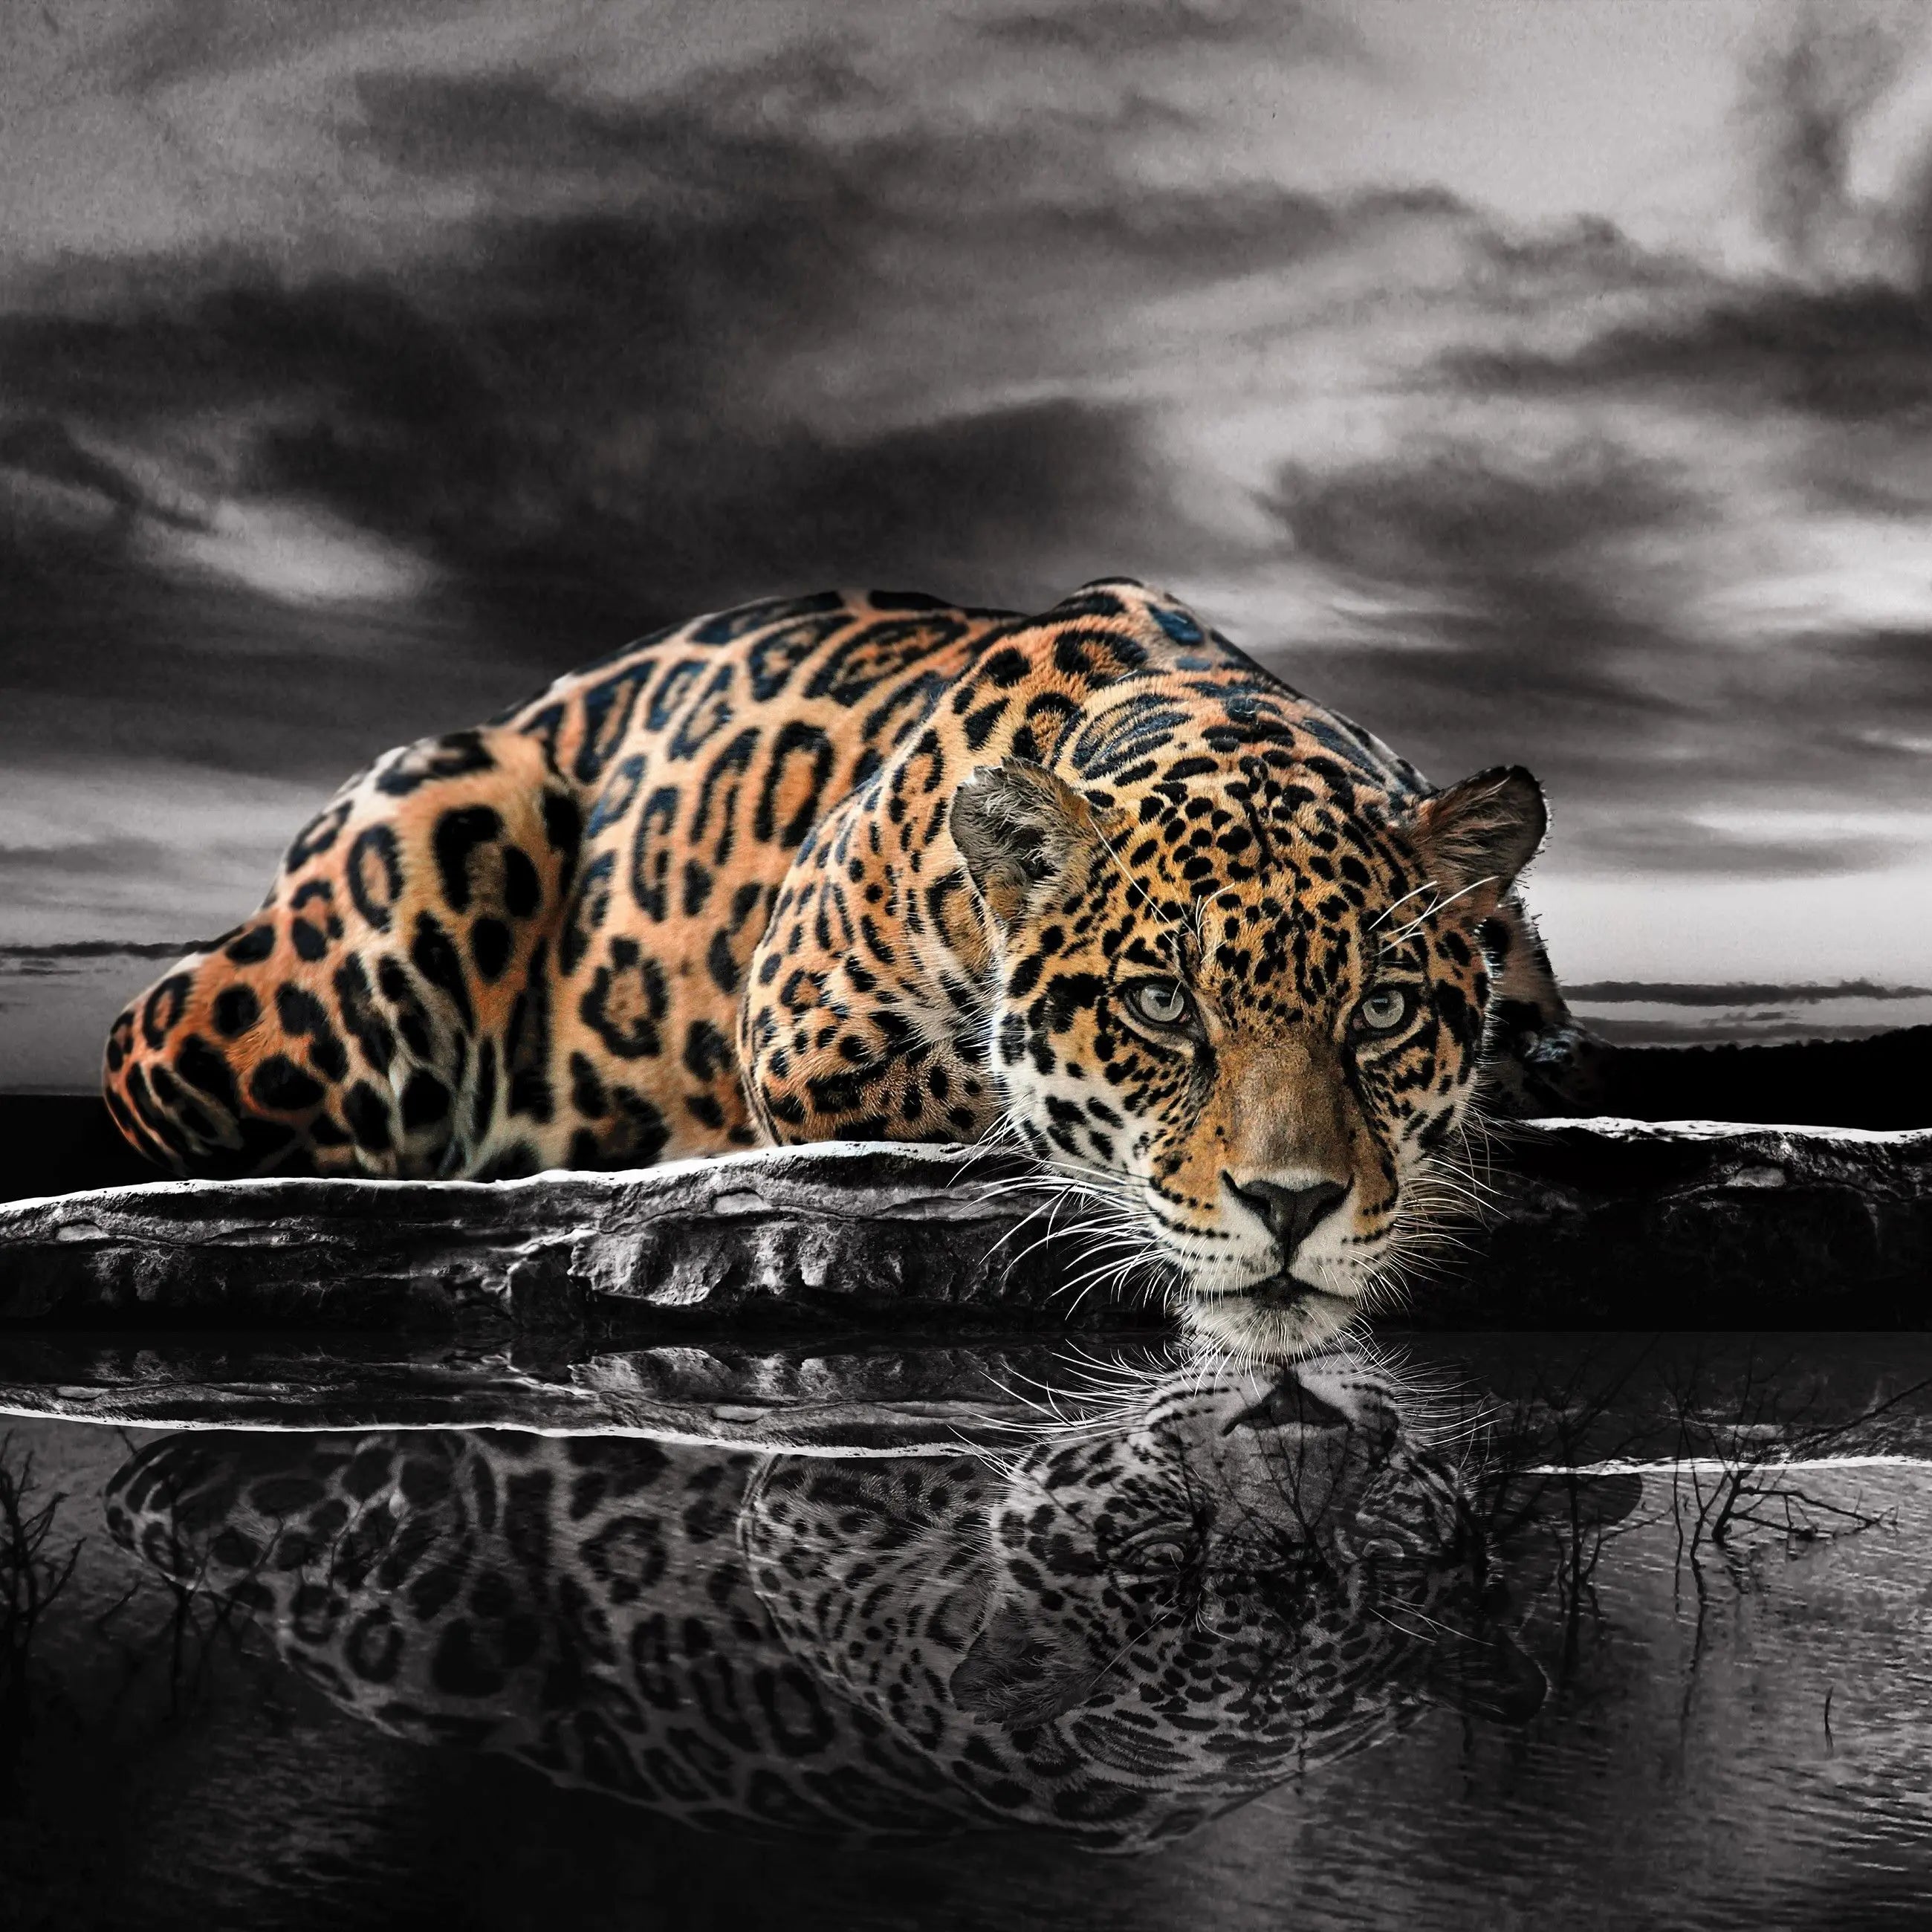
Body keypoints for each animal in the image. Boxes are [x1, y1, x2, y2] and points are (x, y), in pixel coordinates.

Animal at [102, 578, 1600, 1359]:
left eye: (1383, 1011)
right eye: (1161, 1007)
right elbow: (995, 1100)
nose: (1293, 1207)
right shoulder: (806, 1030)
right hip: (405, 864)